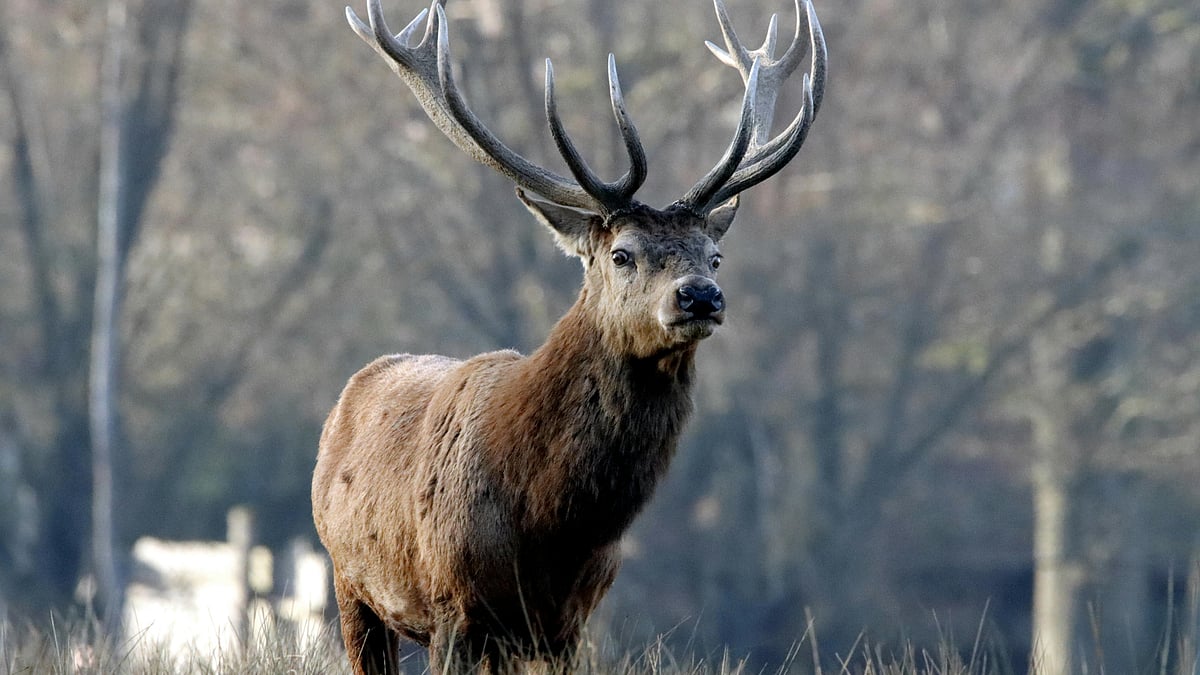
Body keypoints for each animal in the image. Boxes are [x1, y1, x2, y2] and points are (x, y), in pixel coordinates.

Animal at [313, 0, 825, 672]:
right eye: (622, 254)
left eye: (715, 257)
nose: (700, 297)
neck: (548, 526)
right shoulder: (452, 605)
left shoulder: (570, 622)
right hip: (351, 582)